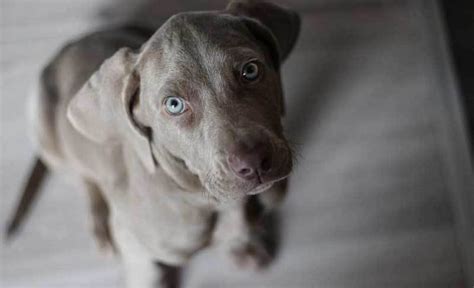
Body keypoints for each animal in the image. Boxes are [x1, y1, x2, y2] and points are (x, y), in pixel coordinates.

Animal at [6, 1, 300, 286]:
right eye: (174, 104)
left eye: (250, 70)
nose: (254, 163)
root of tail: (67, 47)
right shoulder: (135, 247)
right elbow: (149, 271)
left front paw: (243, 245)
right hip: (44, 130)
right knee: (86, 181)